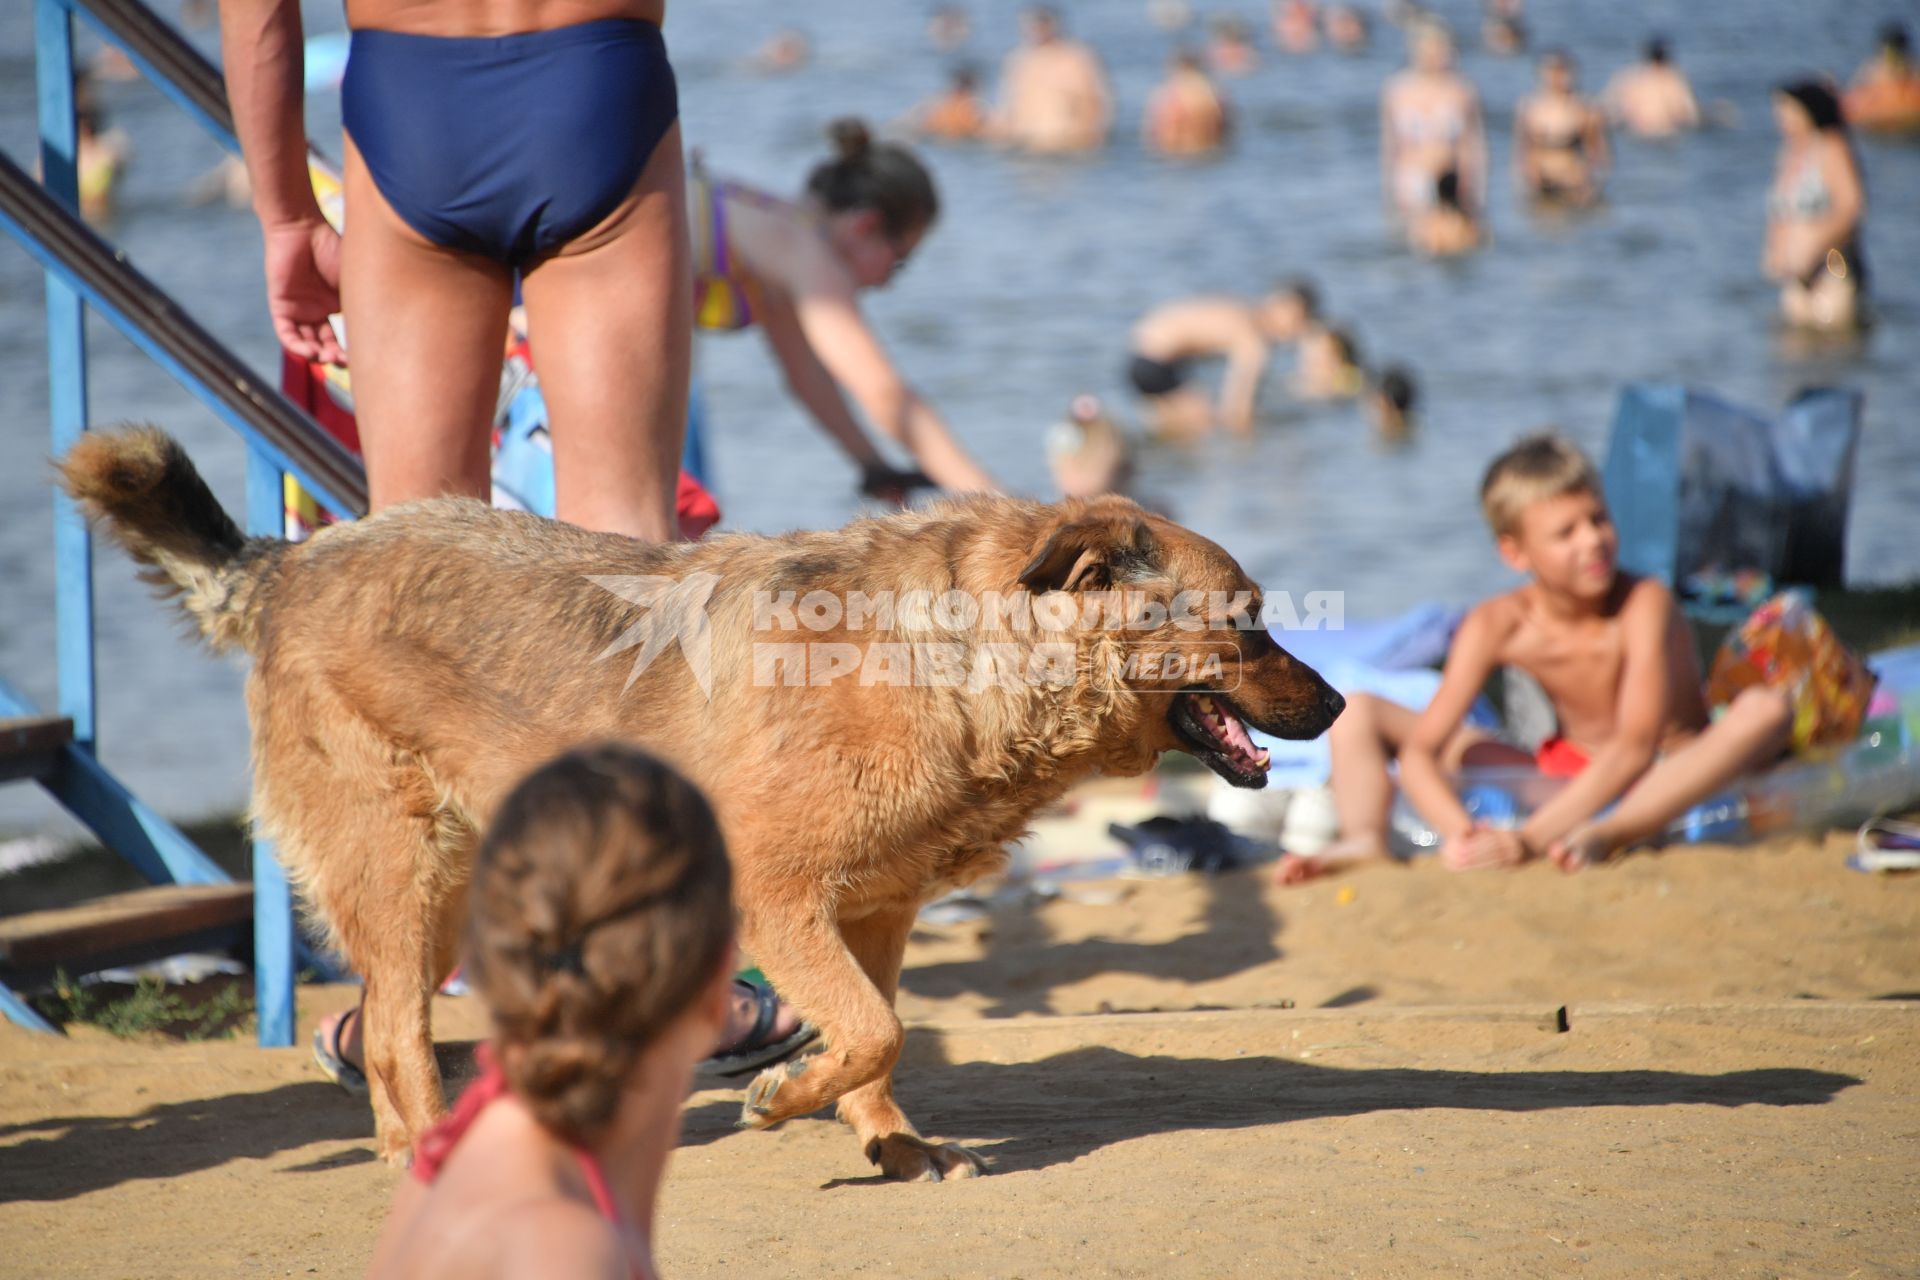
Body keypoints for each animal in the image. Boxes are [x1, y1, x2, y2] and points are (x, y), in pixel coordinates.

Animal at [63, 427, 1351, 1182]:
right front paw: (784, 1099)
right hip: (409, 868)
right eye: (1246, 622)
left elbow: (877, 1031)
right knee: (390, 1031)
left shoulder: (874, 912)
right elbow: (869, 1028)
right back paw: (430, 1148)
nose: (1342, 703)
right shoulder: (781, 898)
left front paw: (885, 1138)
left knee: (388, 1026)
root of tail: (289, 559)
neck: (957, 654)